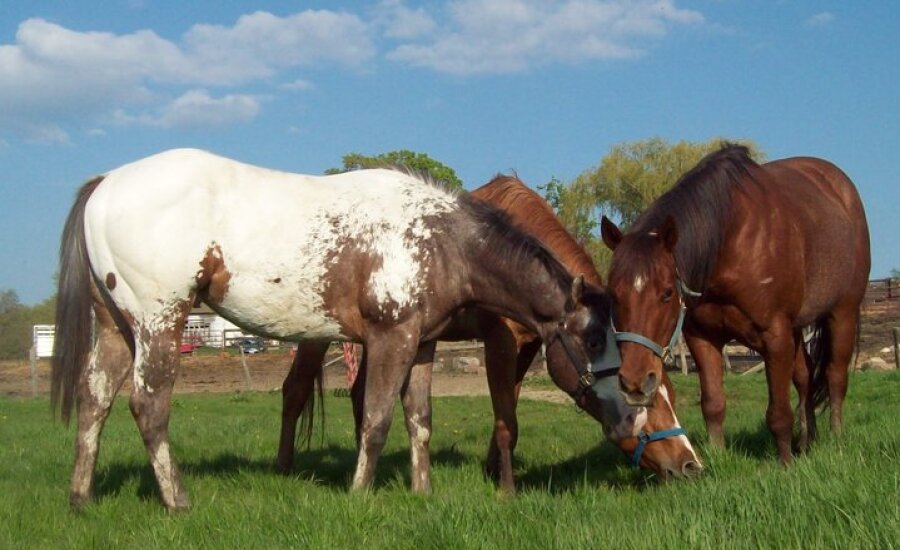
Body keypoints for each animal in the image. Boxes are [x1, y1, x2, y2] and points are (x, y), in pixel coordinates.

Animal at [51, 152, 648, 512]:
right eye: (592, 339)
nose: (630, 421)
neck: (441, 241)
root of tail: (106, 184)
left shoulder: (422, 345)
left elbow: (419, 422)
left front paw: (422, 492)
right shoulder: (391, 339)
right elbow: (377, 421)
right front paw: (361, 492)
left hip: (116, 327)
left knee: (94, 401)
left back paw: (81, 498)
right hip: (159, 321)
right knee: (148, 406)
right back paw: (178, 502)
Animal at [278, 175, 700, 494]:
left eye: (668, 391)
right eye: (648, 400)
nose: (690, 464)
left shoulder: (529, 347)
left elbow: (507, 411)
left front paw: (492, 472)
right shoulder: (500, 342)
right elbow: (506, 421)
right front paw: (507, 490)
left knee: (358, 393)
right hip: (318, 331)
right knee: (295, 390)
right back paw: (285, 467)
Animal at [600, 144, 868, 464]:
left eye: (666, 293)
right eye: (613, 294)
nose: (635, 383)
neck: (729, 242)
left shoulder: (775, 336)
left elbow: (779, 412)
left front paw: (786, 464)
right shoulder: (702, 337)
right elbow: (713, 404)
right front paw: (717, 457)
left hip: (842, 314)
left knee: (835, 377)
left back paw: (835, 439)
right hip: (798, 327)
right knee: (805, 378)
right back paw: (806, 441)